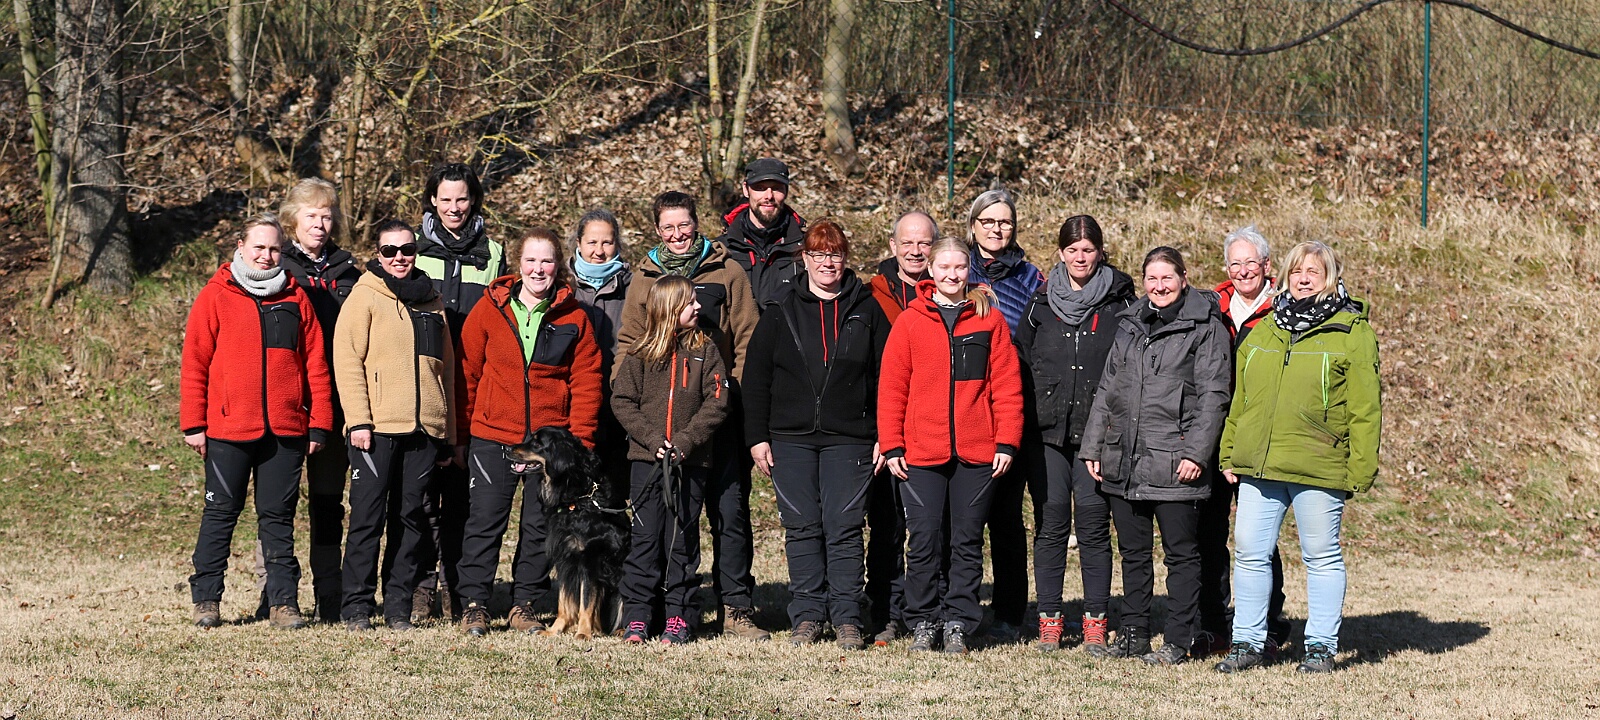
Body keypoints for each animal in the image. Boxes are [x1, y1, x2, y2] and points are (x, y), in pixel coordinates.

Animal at [506, 426, 630, 640]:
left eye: (537, 443)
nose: (506, 449)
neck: (578, 499)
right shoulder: (565, 559)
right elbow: (564, 603)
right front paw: (554, 630)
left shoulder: (590, 561)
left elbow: (586, 602)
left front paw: (583, 633)